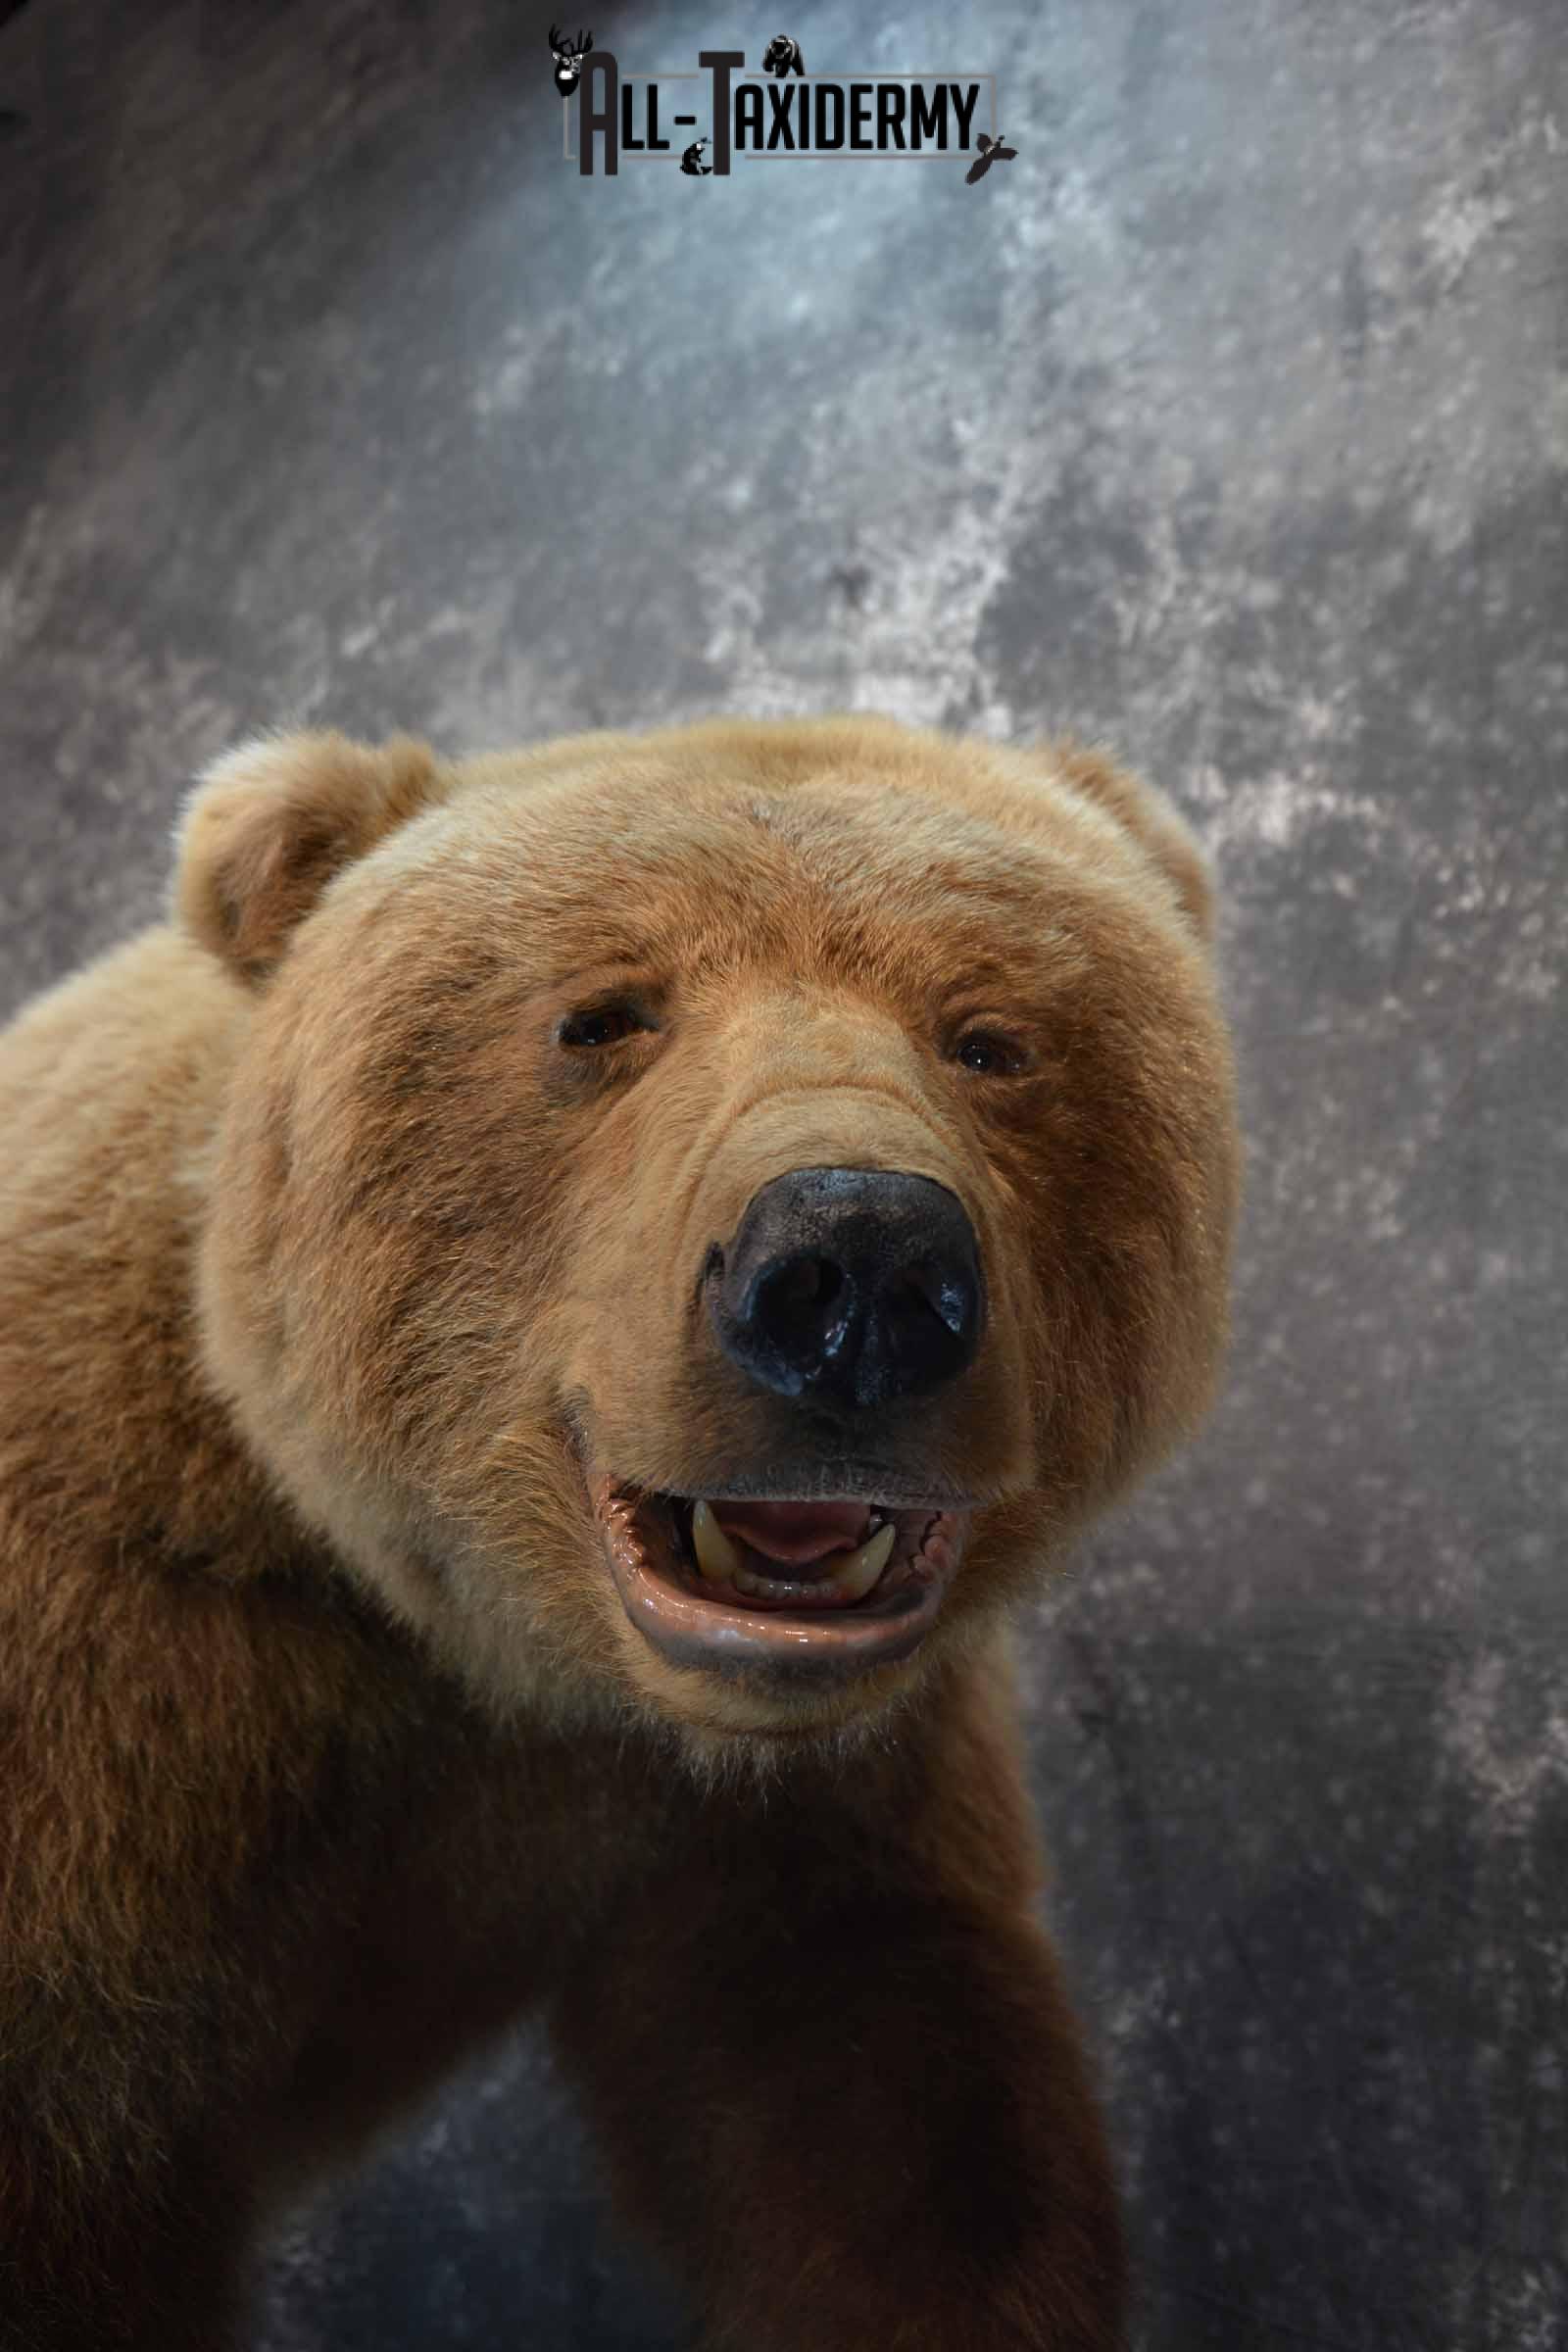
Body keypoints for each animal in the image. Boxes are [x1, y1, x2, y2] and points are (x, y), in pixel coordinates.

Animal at [0, 715, 1239, 2352]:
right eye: (598, 1018)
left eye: (992, 1037)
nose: (856, 1262)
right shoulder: (111, 1694)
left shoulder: (802, 1805)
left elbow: (887, 2111)